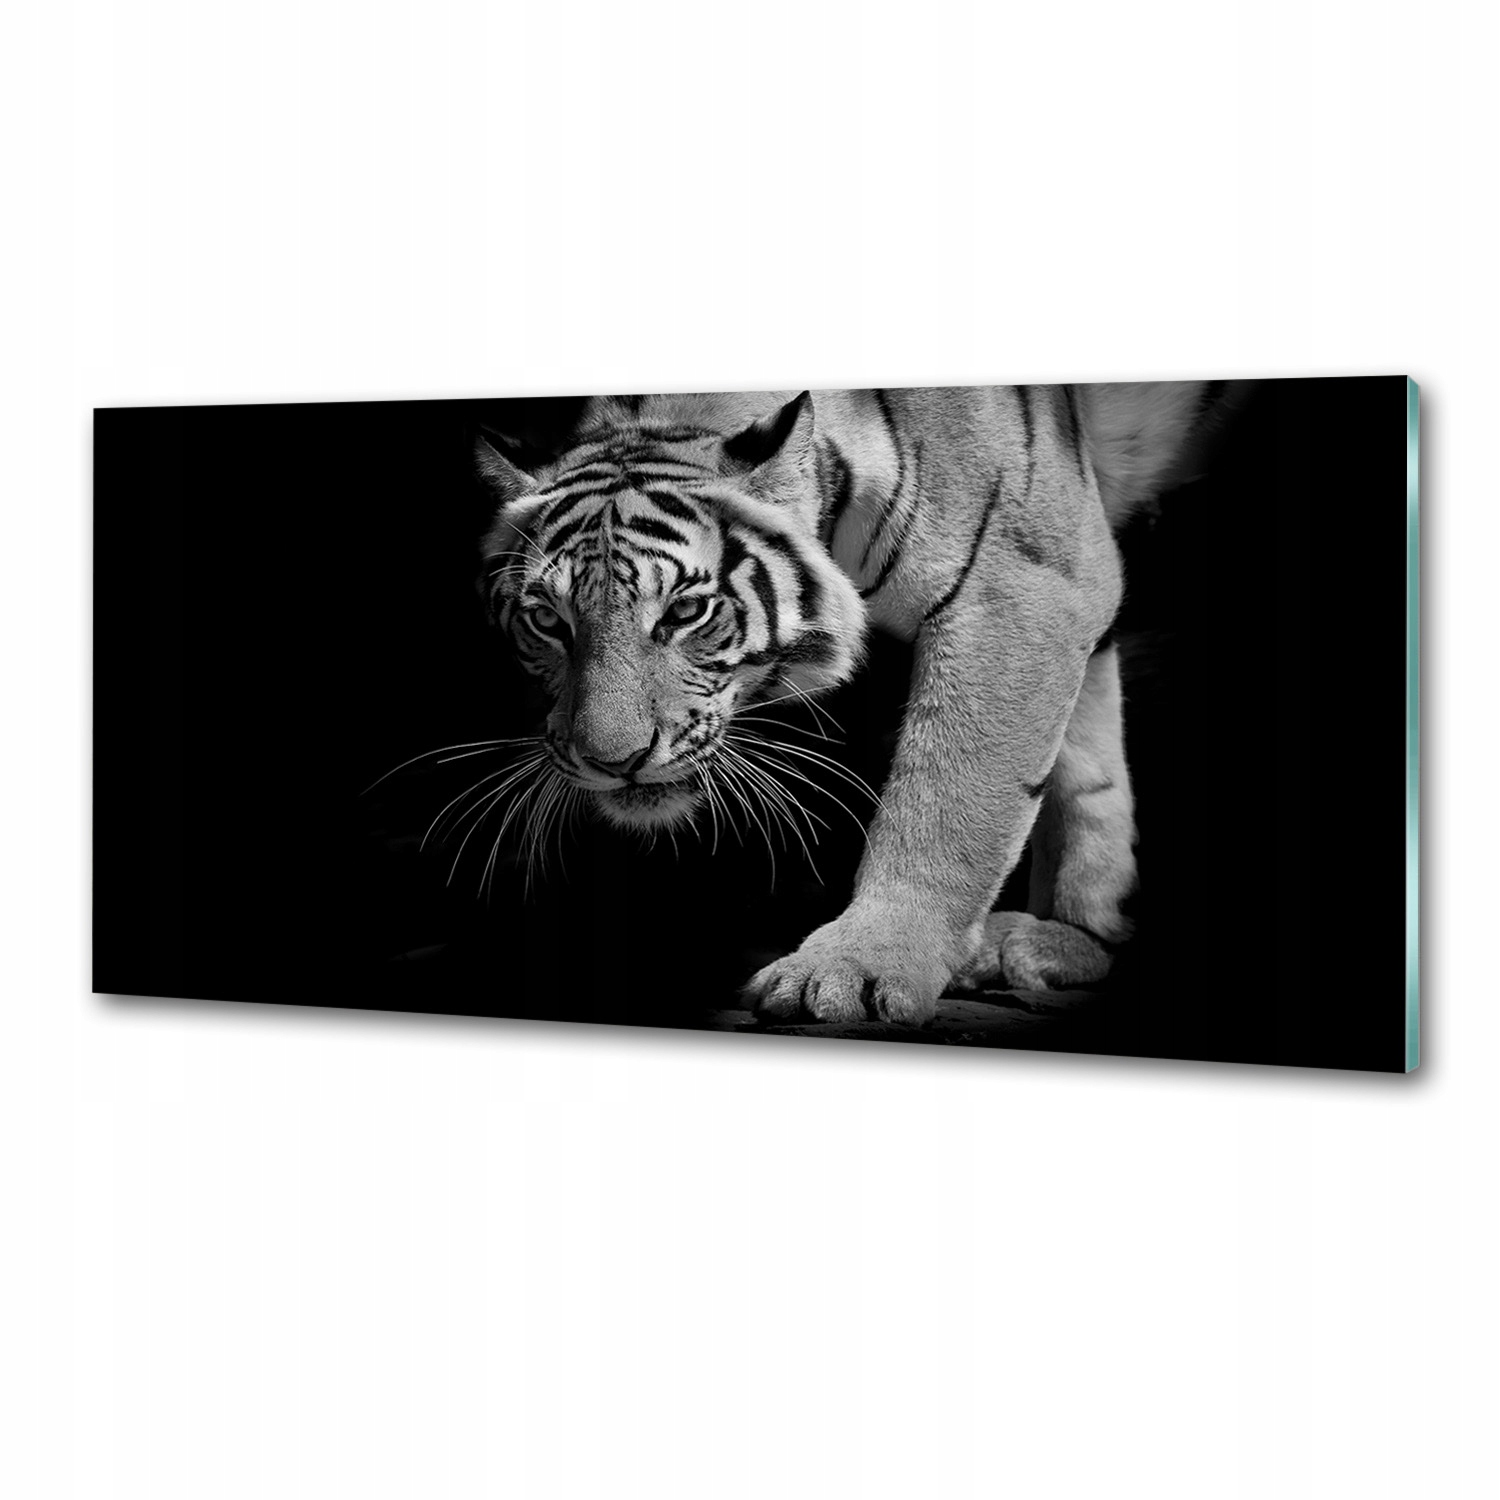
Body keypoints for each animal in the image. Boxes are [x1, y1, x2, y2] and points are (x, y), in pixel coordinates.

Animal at [474, 383, 1237, 1026]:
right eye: (547, 620)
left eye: (687, 611)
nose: (614, 761)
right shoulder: (1073, 579)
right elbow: (1086, 766)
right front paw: (1075, 934)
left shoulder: (1022, 582)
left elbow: (950, 803)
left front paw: (858, 968)